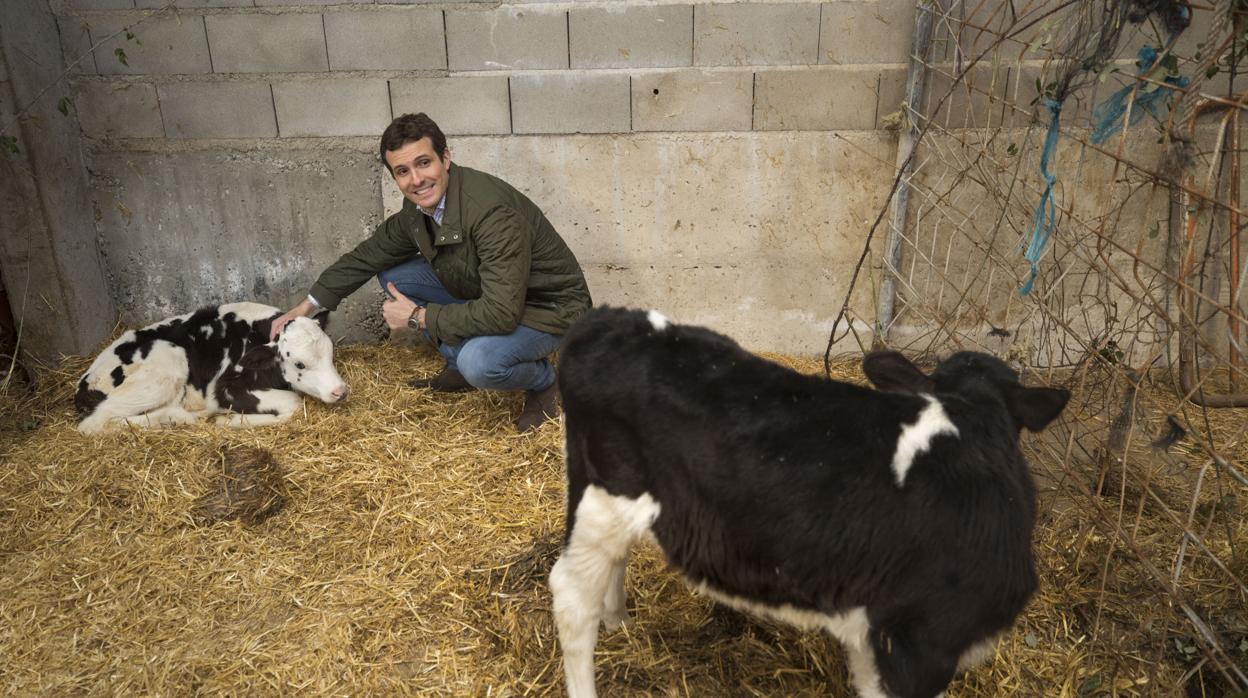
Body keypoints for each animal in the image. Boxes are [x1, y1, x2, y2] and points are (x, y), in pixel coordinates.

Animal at [75, 303, 349, 434]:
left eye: (330, 353)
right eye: (300, 364)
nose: (340, 391)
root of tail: (84, 383)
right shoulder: (224, 388)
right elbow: (293, 403)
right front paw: (230, 421)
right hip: (167, 361)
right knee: (96, 422)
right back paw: (180, 418)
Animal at [551, 308, 1068, 698]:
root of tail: (606, 319)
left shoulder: (874, 635)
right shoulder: (919, 642)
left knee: (611, 566)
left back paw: (618, 621)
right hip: (606, 496)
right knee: (571, 597)